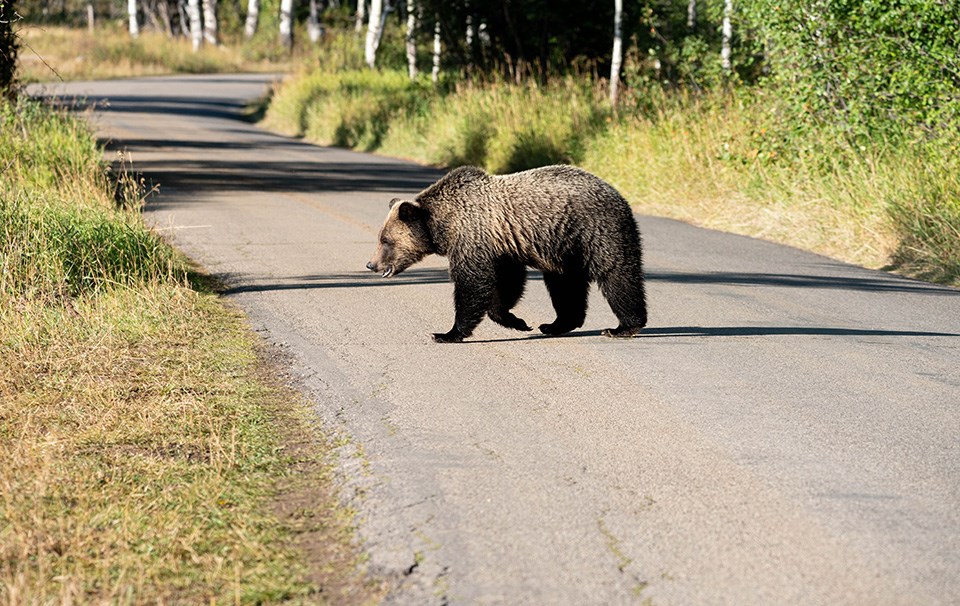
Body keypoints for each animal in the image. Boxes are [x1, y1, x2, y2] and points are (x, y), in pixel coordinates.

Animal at [364, 165, 648, 342]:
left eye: (385, 240)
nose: (371, 264)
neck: (443, 224)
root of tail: (618, 194)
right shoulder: (502, 247)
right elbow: (506, 284)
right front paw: (518, 321)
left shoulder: (473, 237)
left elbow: (473, 284)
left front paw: (446, 333)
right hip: (564, 248)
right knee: (565, 285)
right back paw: (555, 324)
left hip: (595, 230)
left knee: (617, 274)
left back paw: (623, 326)